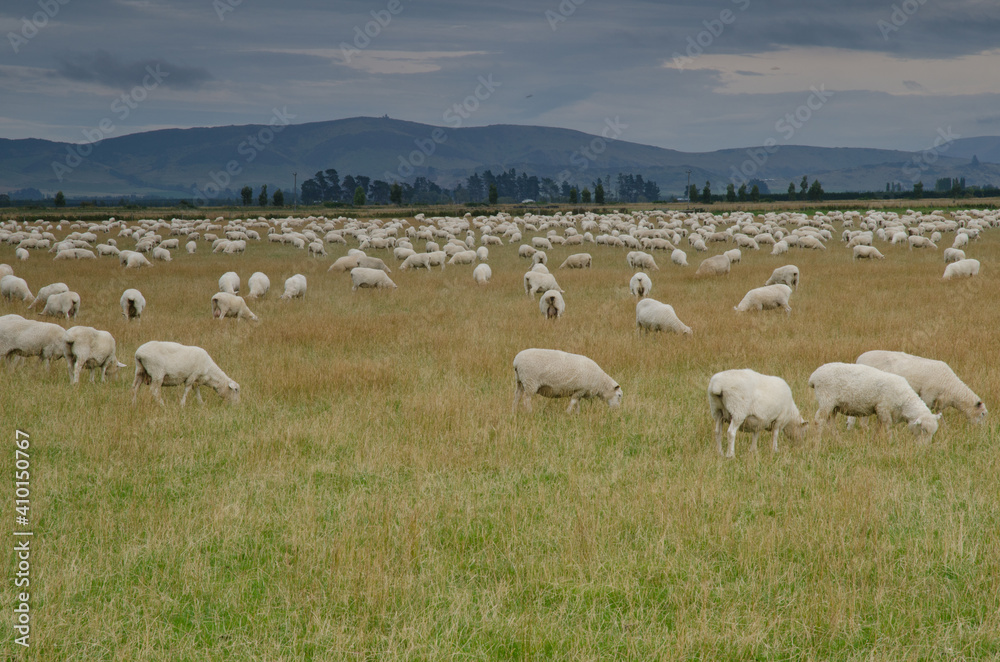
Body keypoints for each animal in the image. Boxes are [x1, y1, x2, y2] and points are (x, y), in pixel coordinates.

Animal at [809, 362, 940, 439]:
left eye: (933, 433)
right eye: (923, 430)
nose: (923, 449)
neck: (904, 400)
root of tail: (813, 377)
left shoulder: (879, 411)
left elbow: (878, 426)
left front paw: (875, 439)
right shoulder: (883, 408)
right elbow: (887, 426)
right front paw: (890, 441)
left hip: (833, 406)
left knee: (830, 422)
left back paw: (837, 438)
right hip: (826, 400)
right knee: (818, 420)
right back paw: (817, 440)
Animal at [855, 350, 986, 424]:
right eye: (983, 414)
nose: (980, 431)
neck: (952, 387)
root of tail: (859, 358)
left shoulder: (938, 402)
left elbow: (940, 416)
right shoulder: (927, 395)